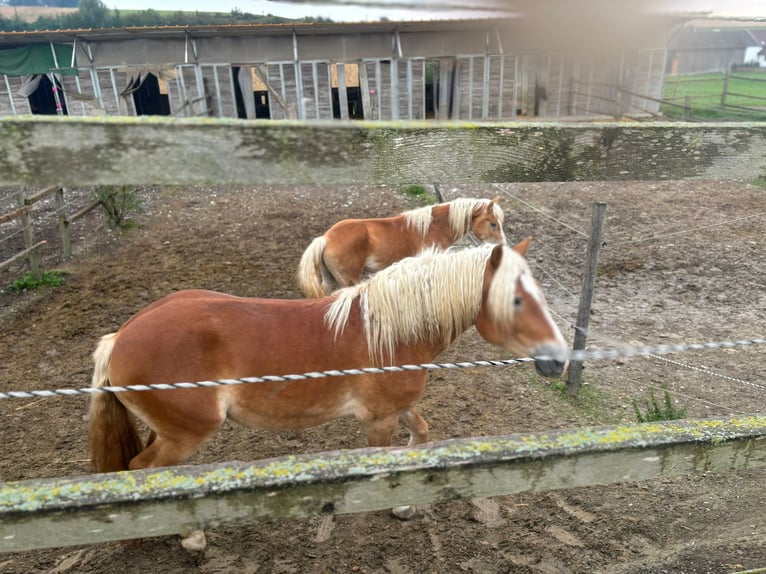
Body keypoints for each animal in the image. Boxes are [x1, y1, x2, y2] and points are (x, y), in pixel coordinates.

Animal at [91, 238, 568, 552]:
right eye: (515, 300)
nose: (560, 360)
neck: (390, 333)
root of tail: (121, 337)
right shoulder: (379, 420)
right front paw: (396, 506)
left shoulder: (399, 409)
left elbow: (422, 433)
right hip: (186, 434)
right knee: (141, 470)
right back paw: (190, 536)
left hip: (168, 431)